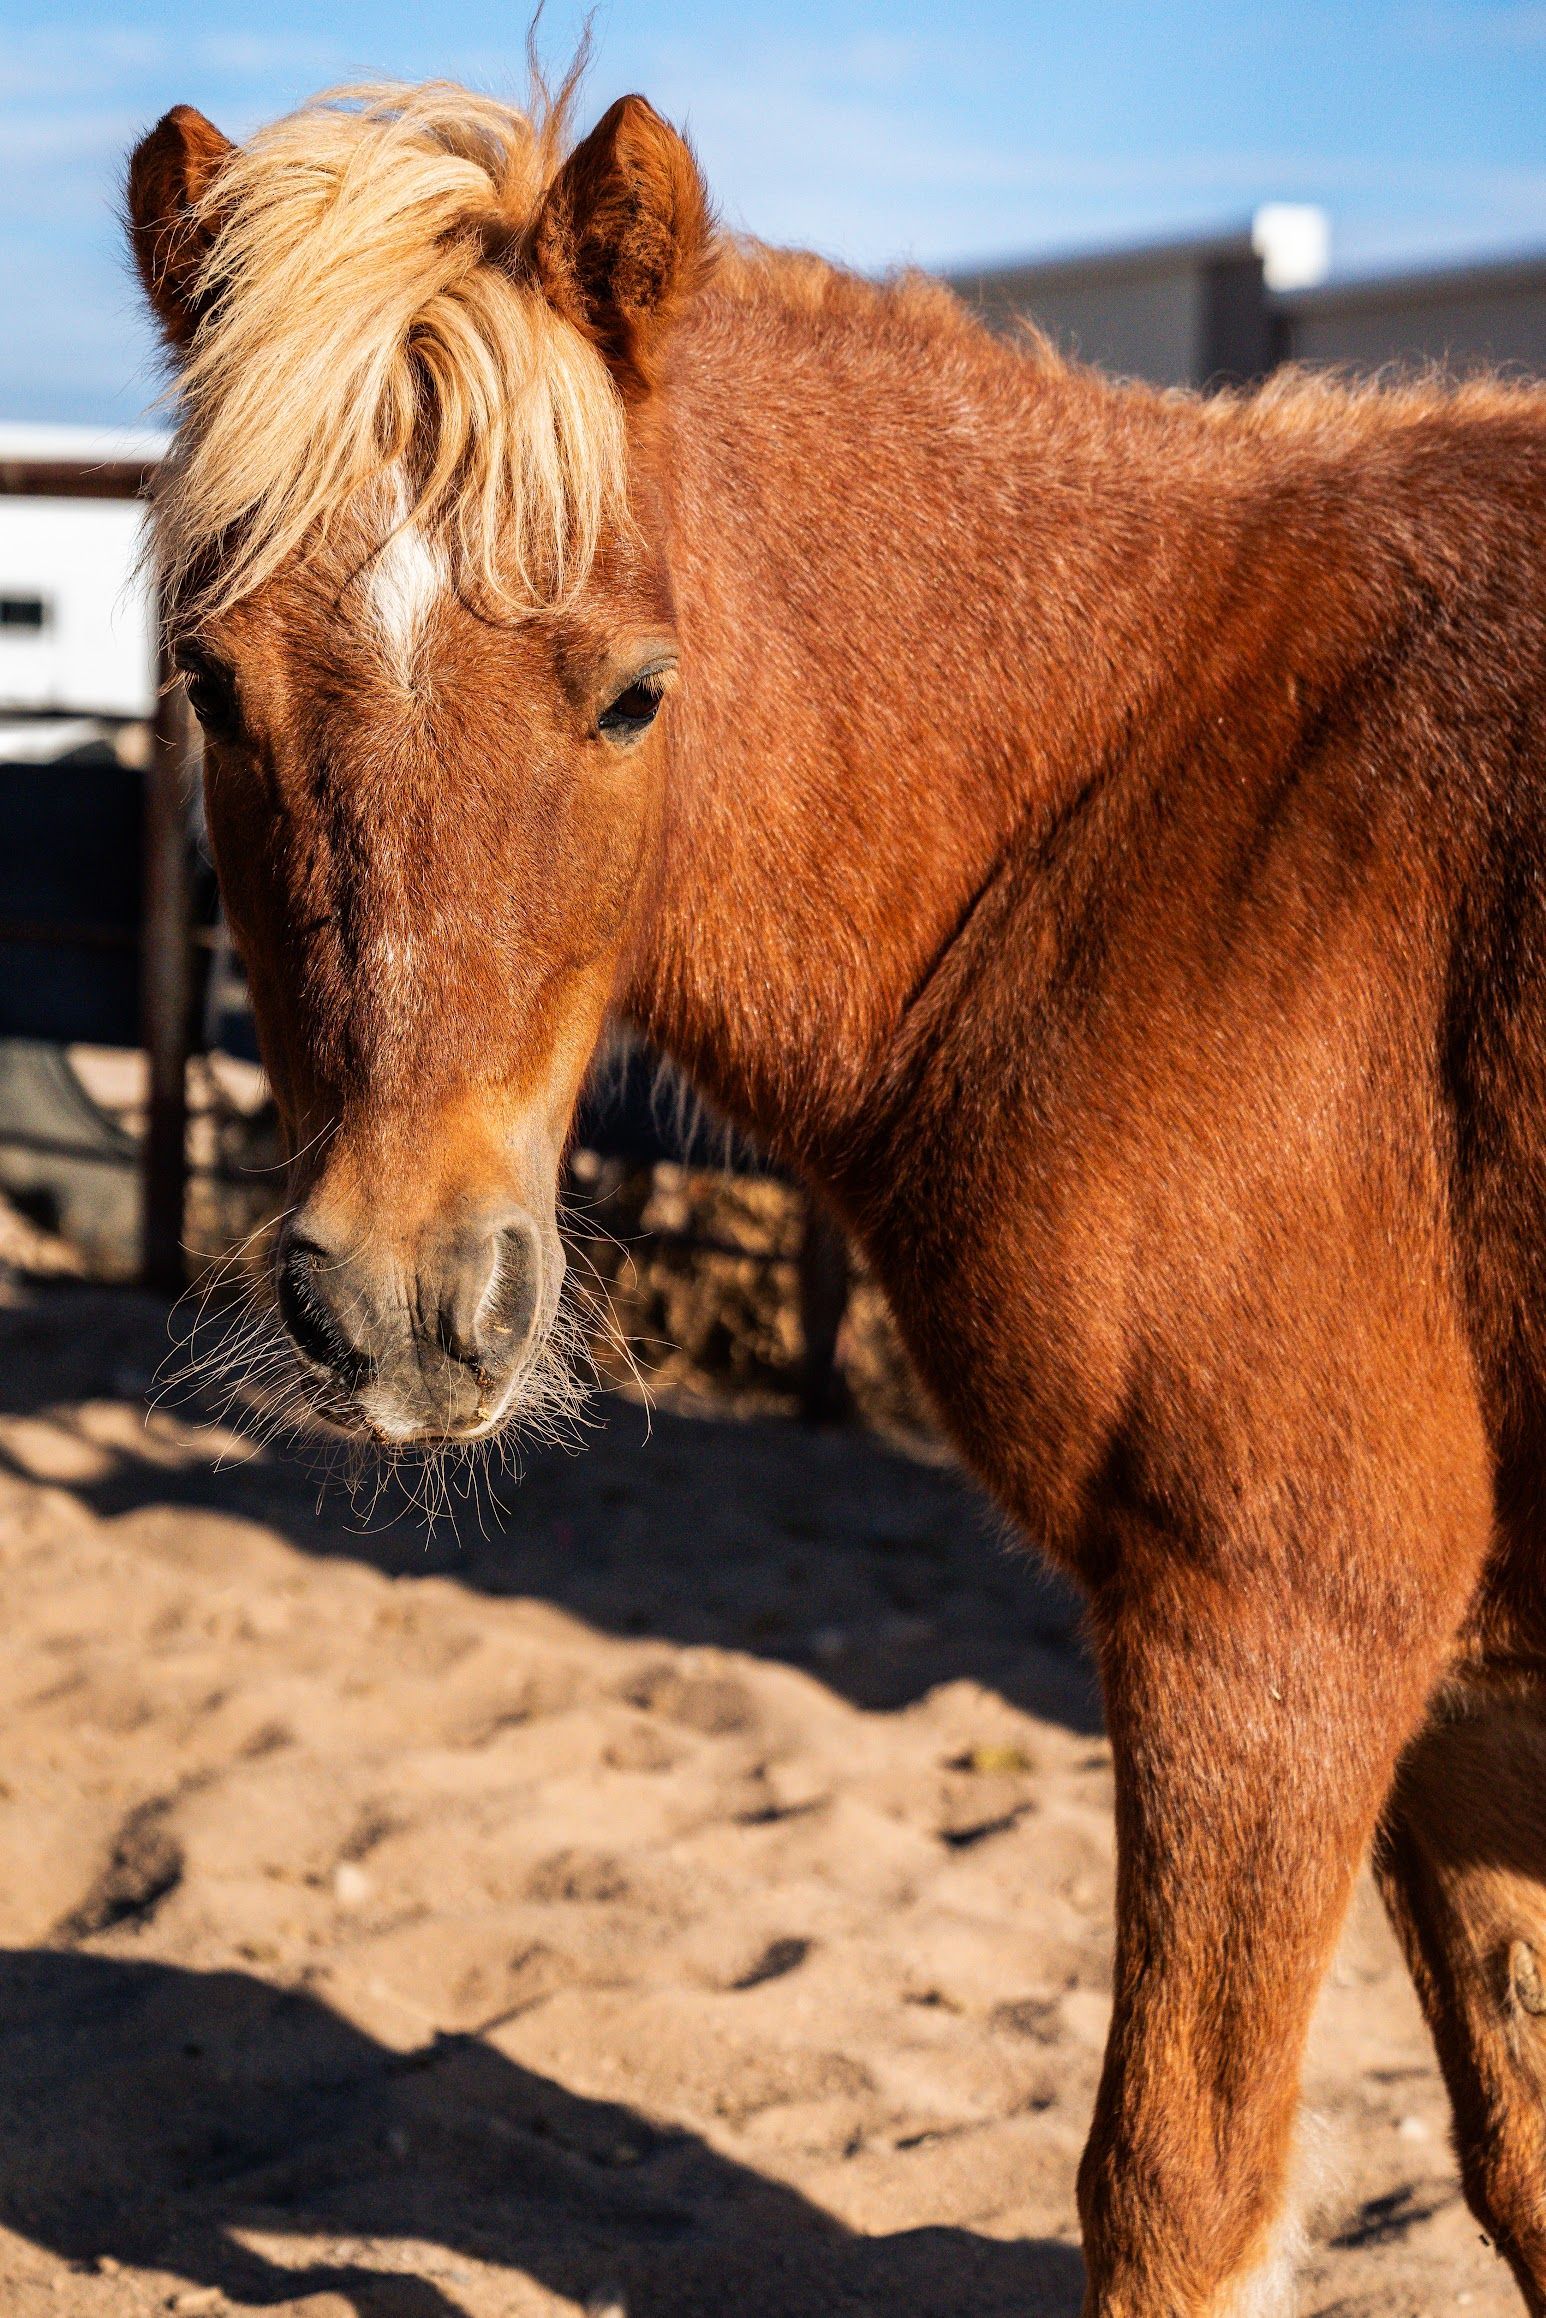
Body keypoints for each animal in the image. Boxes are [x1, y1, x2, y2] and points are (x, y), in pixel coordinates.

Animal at [126, 74, 1546, 2315]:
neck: (1175, 802)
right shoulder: (1459, 1701)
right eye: (212, 689)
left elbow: (1177, 2186)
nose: (410, 1303)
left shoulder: (1271, 1630)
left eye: (631, 691)